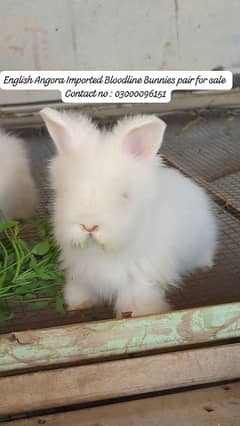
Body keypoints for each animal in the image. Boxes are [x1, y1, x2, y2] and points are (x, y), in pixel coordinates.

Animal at [40, 108, 217, 318]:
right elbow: (80, 292)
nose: (89, 226)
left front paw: (142, 313)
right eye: (66, 192)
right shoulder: (81, 274)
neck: (102, 254)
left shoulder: (139, 278)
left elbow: (135, 302)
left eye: (124, 196)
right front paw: (79, 305)